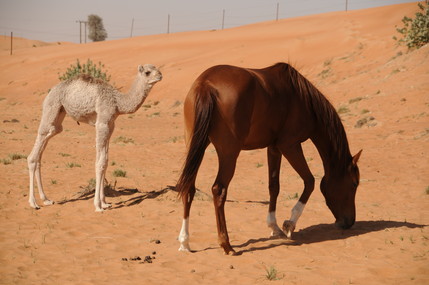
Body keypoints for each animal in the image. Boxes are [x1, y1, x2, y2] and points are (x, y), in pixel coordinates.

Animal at [176, 62, 362, 253]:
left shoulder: (273, 148)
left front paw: (274, 226)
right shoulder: (290, 145)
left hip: (196, 147)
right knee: (219, 190)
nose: (349, 222)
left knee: (188, 188)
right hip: (229, 154)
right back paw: (226, 244)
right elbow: (310, 181)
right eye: (354, 184)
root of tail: (206, 85)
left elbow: (274, 186)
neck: (302, 99)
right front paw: (289, 224)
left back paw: (185, 242)